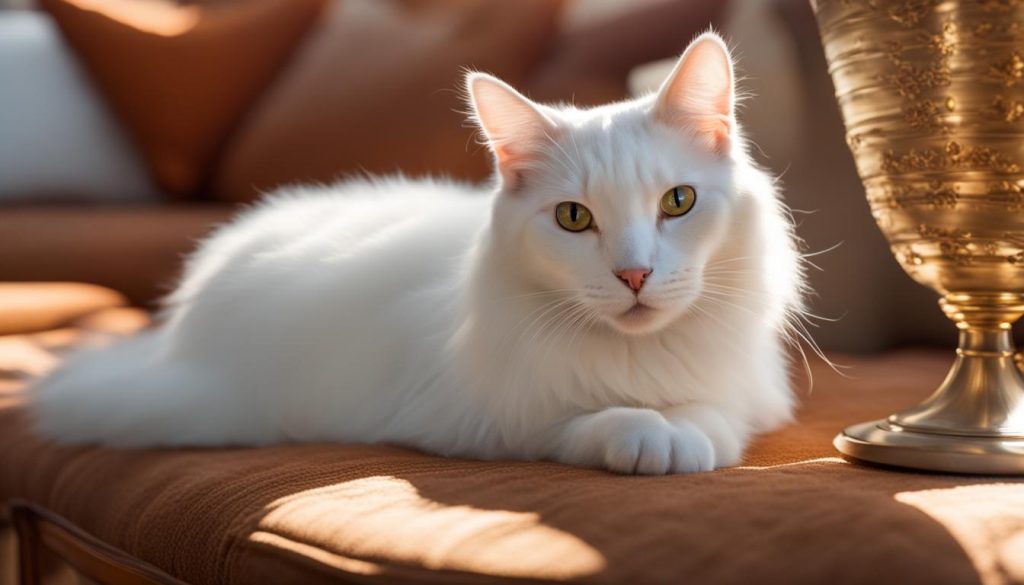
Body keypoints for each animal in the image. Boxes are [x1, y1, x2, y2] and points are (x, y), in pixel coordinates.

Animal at [32, 33, 802, 475]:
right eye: (574, 218)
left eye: (679, 202)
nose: (634, 274)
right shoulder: (475, 418)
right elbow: (585, 420)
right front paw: (646, 433)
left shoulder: (746, 390)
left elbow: (713, 412)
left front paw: (682, 432)